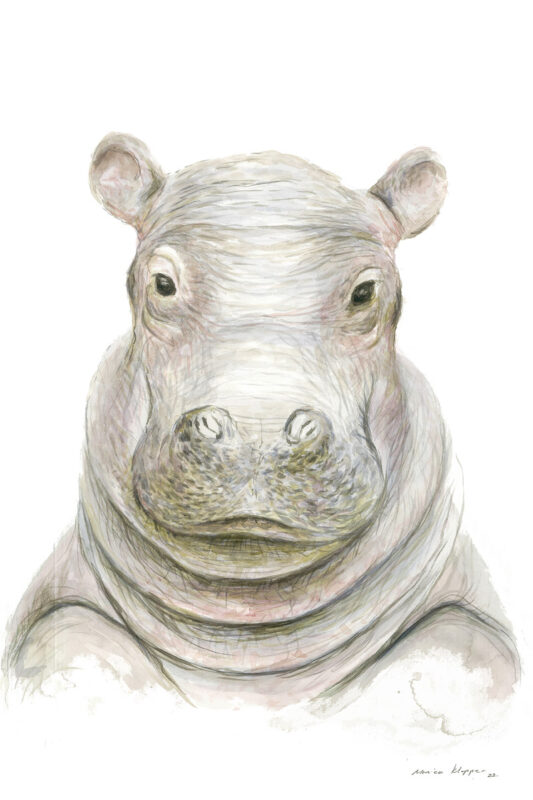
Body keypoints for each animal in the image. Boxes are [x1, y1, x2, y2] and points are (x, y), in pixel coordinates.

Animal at [4, 135, 519, 726]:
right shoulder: (55, 602)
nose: (258, 431)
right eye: (161, 283)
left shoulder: (473, 612)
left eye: (366, 292)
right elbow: (73, 654)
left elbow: (454, 665)